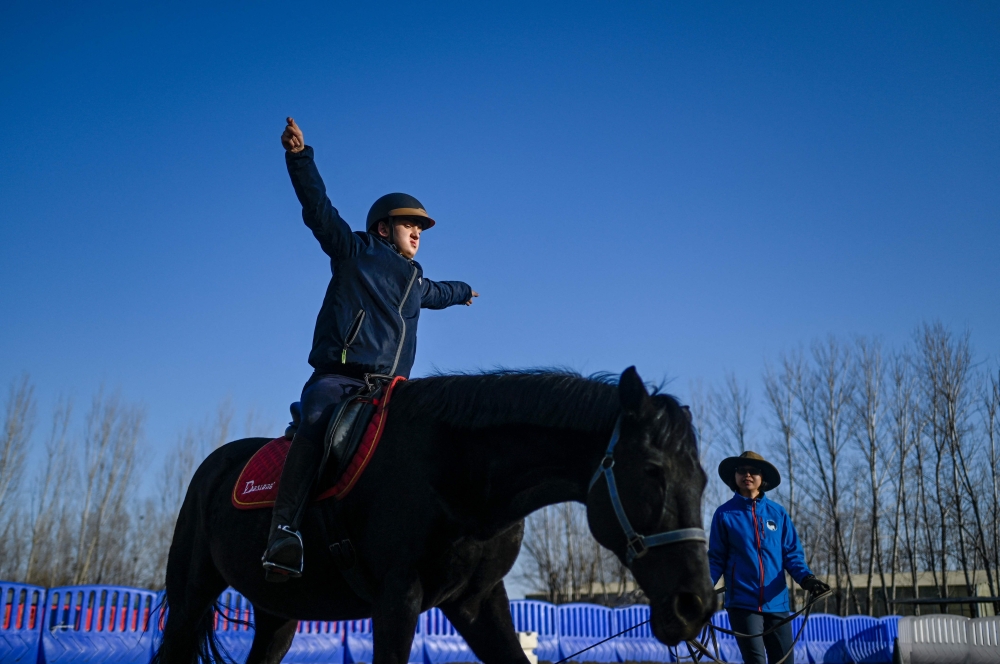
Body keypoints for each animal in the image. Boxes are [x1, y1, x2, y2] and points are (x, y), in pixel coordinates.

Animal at [154, 367, 716, 664]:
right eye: (652, 472)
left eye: (704, 481)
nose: (695, 607)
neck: (457, 475)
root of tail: (213, 467)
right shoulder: (396, 601)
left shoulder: (477, 602)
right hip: (190, 596)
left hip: (277, 614)